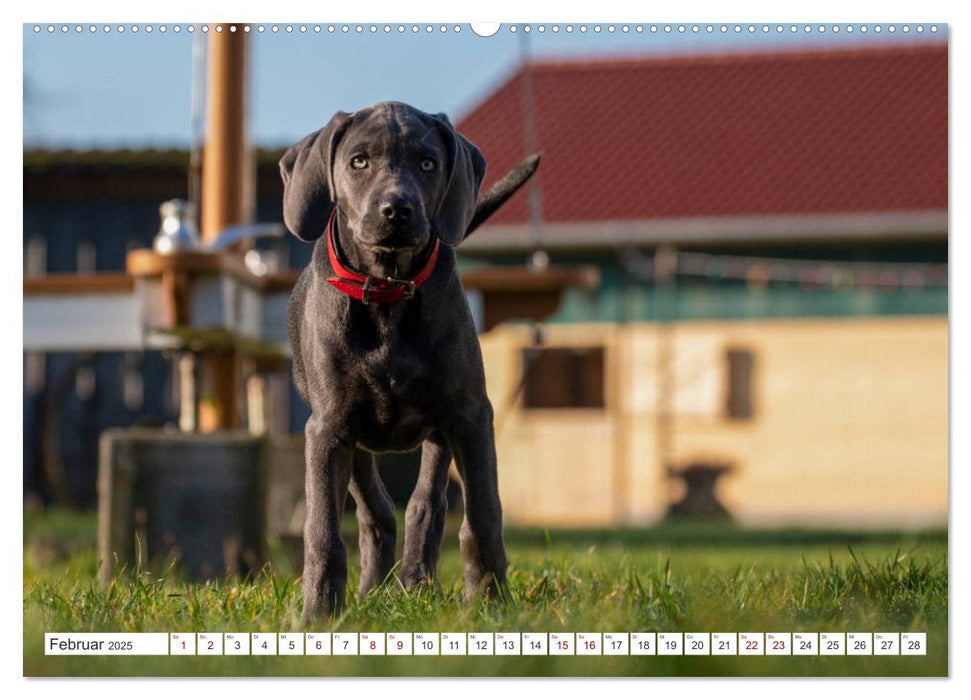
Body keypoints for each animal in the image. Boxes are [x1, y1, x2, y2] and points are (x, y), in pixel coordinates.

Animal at [280, 100, 540, 616]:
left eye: (427, 163)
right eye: (359, 161)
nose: (397, 209)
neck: (388, 292)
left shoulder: (470, 414)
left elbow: (483, 517)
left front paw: (490, 603)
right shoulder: (327, 428)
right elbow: (322, 532)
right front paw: (317, 614)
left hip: (441, 429)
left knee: (425, 504)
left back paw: (416, 582)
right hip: (352, 438)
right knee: (376, 512)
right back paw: (373, 590)